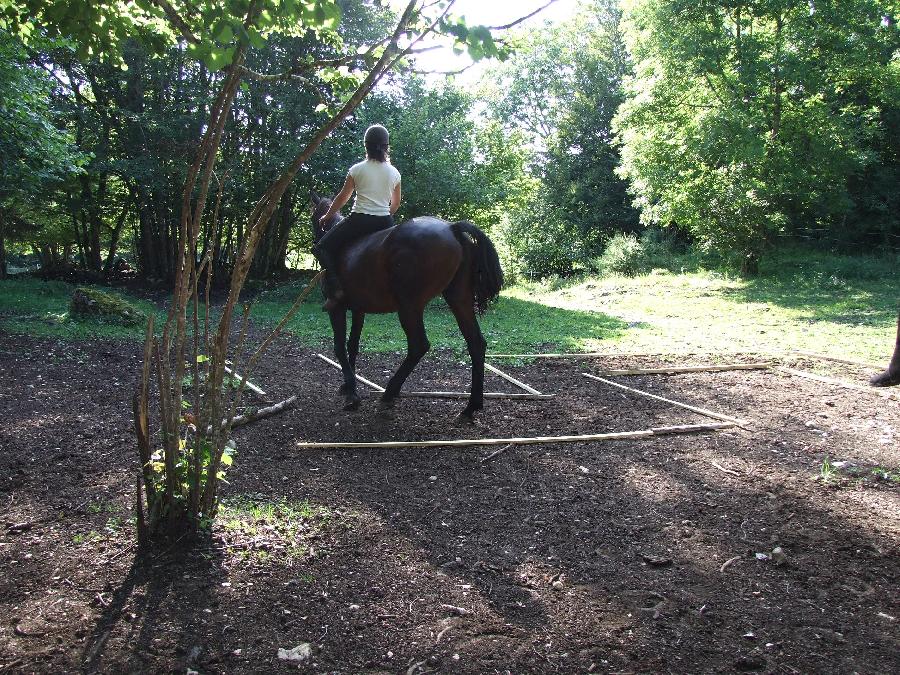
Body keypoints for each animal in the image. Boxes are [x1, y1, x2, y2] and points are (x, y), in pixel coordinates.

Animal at [312, 193, 506, 420]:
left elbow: (339, 347)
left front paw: (351, 392)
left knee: (418, 346)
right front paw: (348, 384)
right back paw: (471, 406)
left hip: (409, 307)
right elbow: (353, 344)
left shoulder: (337, 309)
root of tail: (451, 228)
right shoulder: (359, 309)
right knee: (476, 343)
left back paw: (390, 392)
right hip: (459, 300)